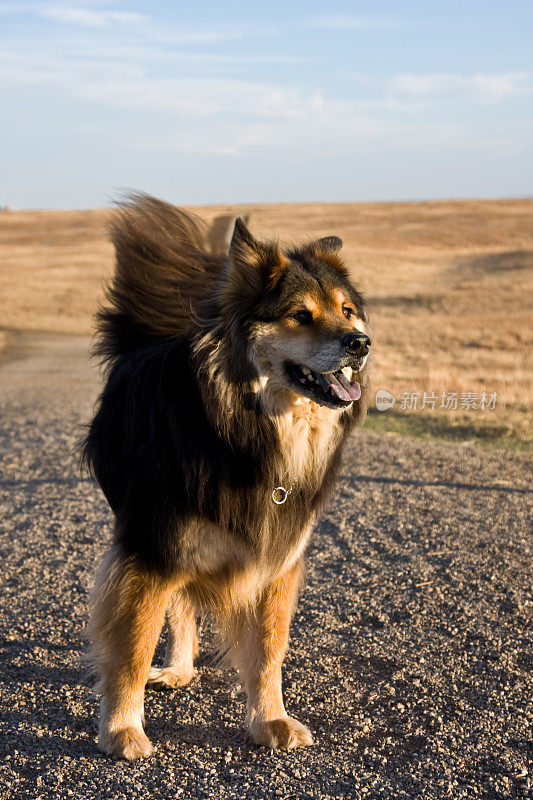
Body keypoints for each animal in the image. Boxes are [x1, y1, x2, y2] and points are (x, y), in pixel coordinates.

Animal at [82, 192, 370, 756]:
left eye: (347, 311)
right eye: (301, 315)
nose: (360, 343)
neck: (248, 431)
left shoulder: (278, 558)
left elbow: (268, 652)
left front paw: (270, 719)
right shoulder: (151, 547)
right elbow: (133, 644)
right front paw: (122, 729)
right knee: (176, 602)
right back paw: (173, 669)